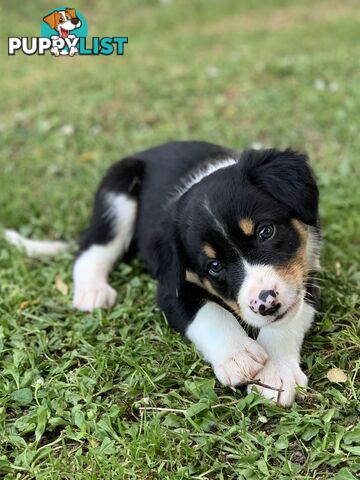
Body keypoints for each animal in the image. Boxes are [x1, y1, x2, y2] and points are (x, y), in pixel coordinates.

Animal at [6, 142, 320, 404]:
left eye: (266, 232)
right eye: (214, 266)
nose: (266, 303)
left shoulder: (306, 271)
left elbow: (288, 319)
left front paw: (275, 375)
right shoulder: (171, 287)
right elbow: (209, 313)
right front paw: (238, 355)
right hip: (116, 195)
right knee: (91, 250)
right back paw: (93, 290)